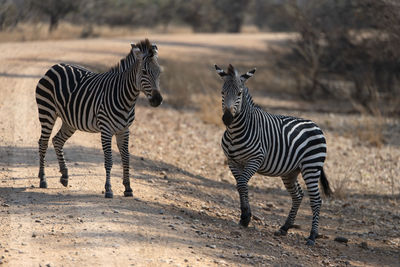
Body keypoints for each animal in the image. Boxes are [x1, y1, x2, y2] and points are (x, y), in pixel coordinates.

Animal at [34, 39, 162, 199]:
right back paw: (43, 179)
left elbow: (126, 158)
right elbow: (109, 160)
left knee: (57, 140)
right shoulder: (106, 130)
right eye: (144, 72)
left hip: (69, 121)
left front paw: (128, 188)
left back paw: (64, 176)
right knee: (43, 143)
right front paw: (108, 189)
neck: (126, 97)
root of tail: (55, 66)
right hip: (47, 112)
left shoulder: (124, 130)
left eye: (159, 72)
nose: (157, 100)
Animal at [214, 63, 332, 246]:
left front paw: (246, 217)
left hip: (311, 167)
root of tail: (315, 125)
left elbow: (242, 185)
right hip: (291, 171)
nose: (227, 118)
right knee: (298, 195)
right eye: (222, 92)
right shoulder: (232, 162)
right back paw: (285, 228)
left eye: (239, 93)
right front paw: (244, 217)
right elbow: (241, 185)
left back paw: (312, 236)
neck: (235, 132)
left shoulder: (255, 159)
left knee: (316, 200)